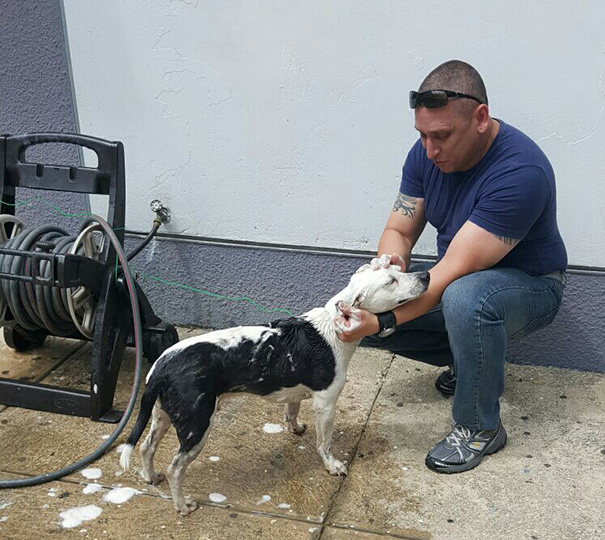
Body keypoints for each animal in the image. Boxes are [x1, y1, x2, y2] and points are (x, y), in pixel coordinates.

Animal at [119, 260, 430, 516]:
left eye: (398, 270)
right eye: (390, 281)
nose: (426, 275)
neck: (333, 328)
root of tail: (161, 368)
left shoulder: (296, 392)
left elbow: (292, 412)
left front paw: (295, 428)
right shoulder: (326, 403)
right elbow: (325, 444)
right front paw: (332, 466)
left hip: (163, 414)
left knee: (146, 447)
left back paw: (151, 477)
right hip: (197, 425)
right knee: (175, 468)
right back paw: (182, 506)